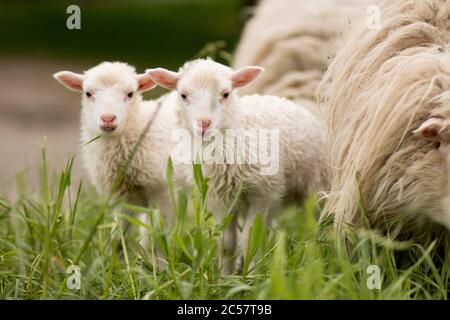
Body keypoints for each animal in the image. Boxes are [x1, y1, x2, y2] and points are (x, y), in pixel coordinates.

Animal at [53, 62, 186, 241]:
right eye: (88, 93)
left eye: (130, 94)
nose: (108, 118)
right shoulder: (122, 197)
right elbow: (121, 235)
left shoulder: (164, 192)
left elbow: (161, 234)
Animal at [147, 58, 326, 270]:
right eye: (183, 95)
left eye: (225, 94)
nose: (204, 123)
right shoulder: (219, 198)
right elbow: (226, 244)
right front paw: (226, 274)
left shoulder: (264, 193)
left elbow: (250, 241)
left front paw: (251, 275)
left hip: (315, 187)